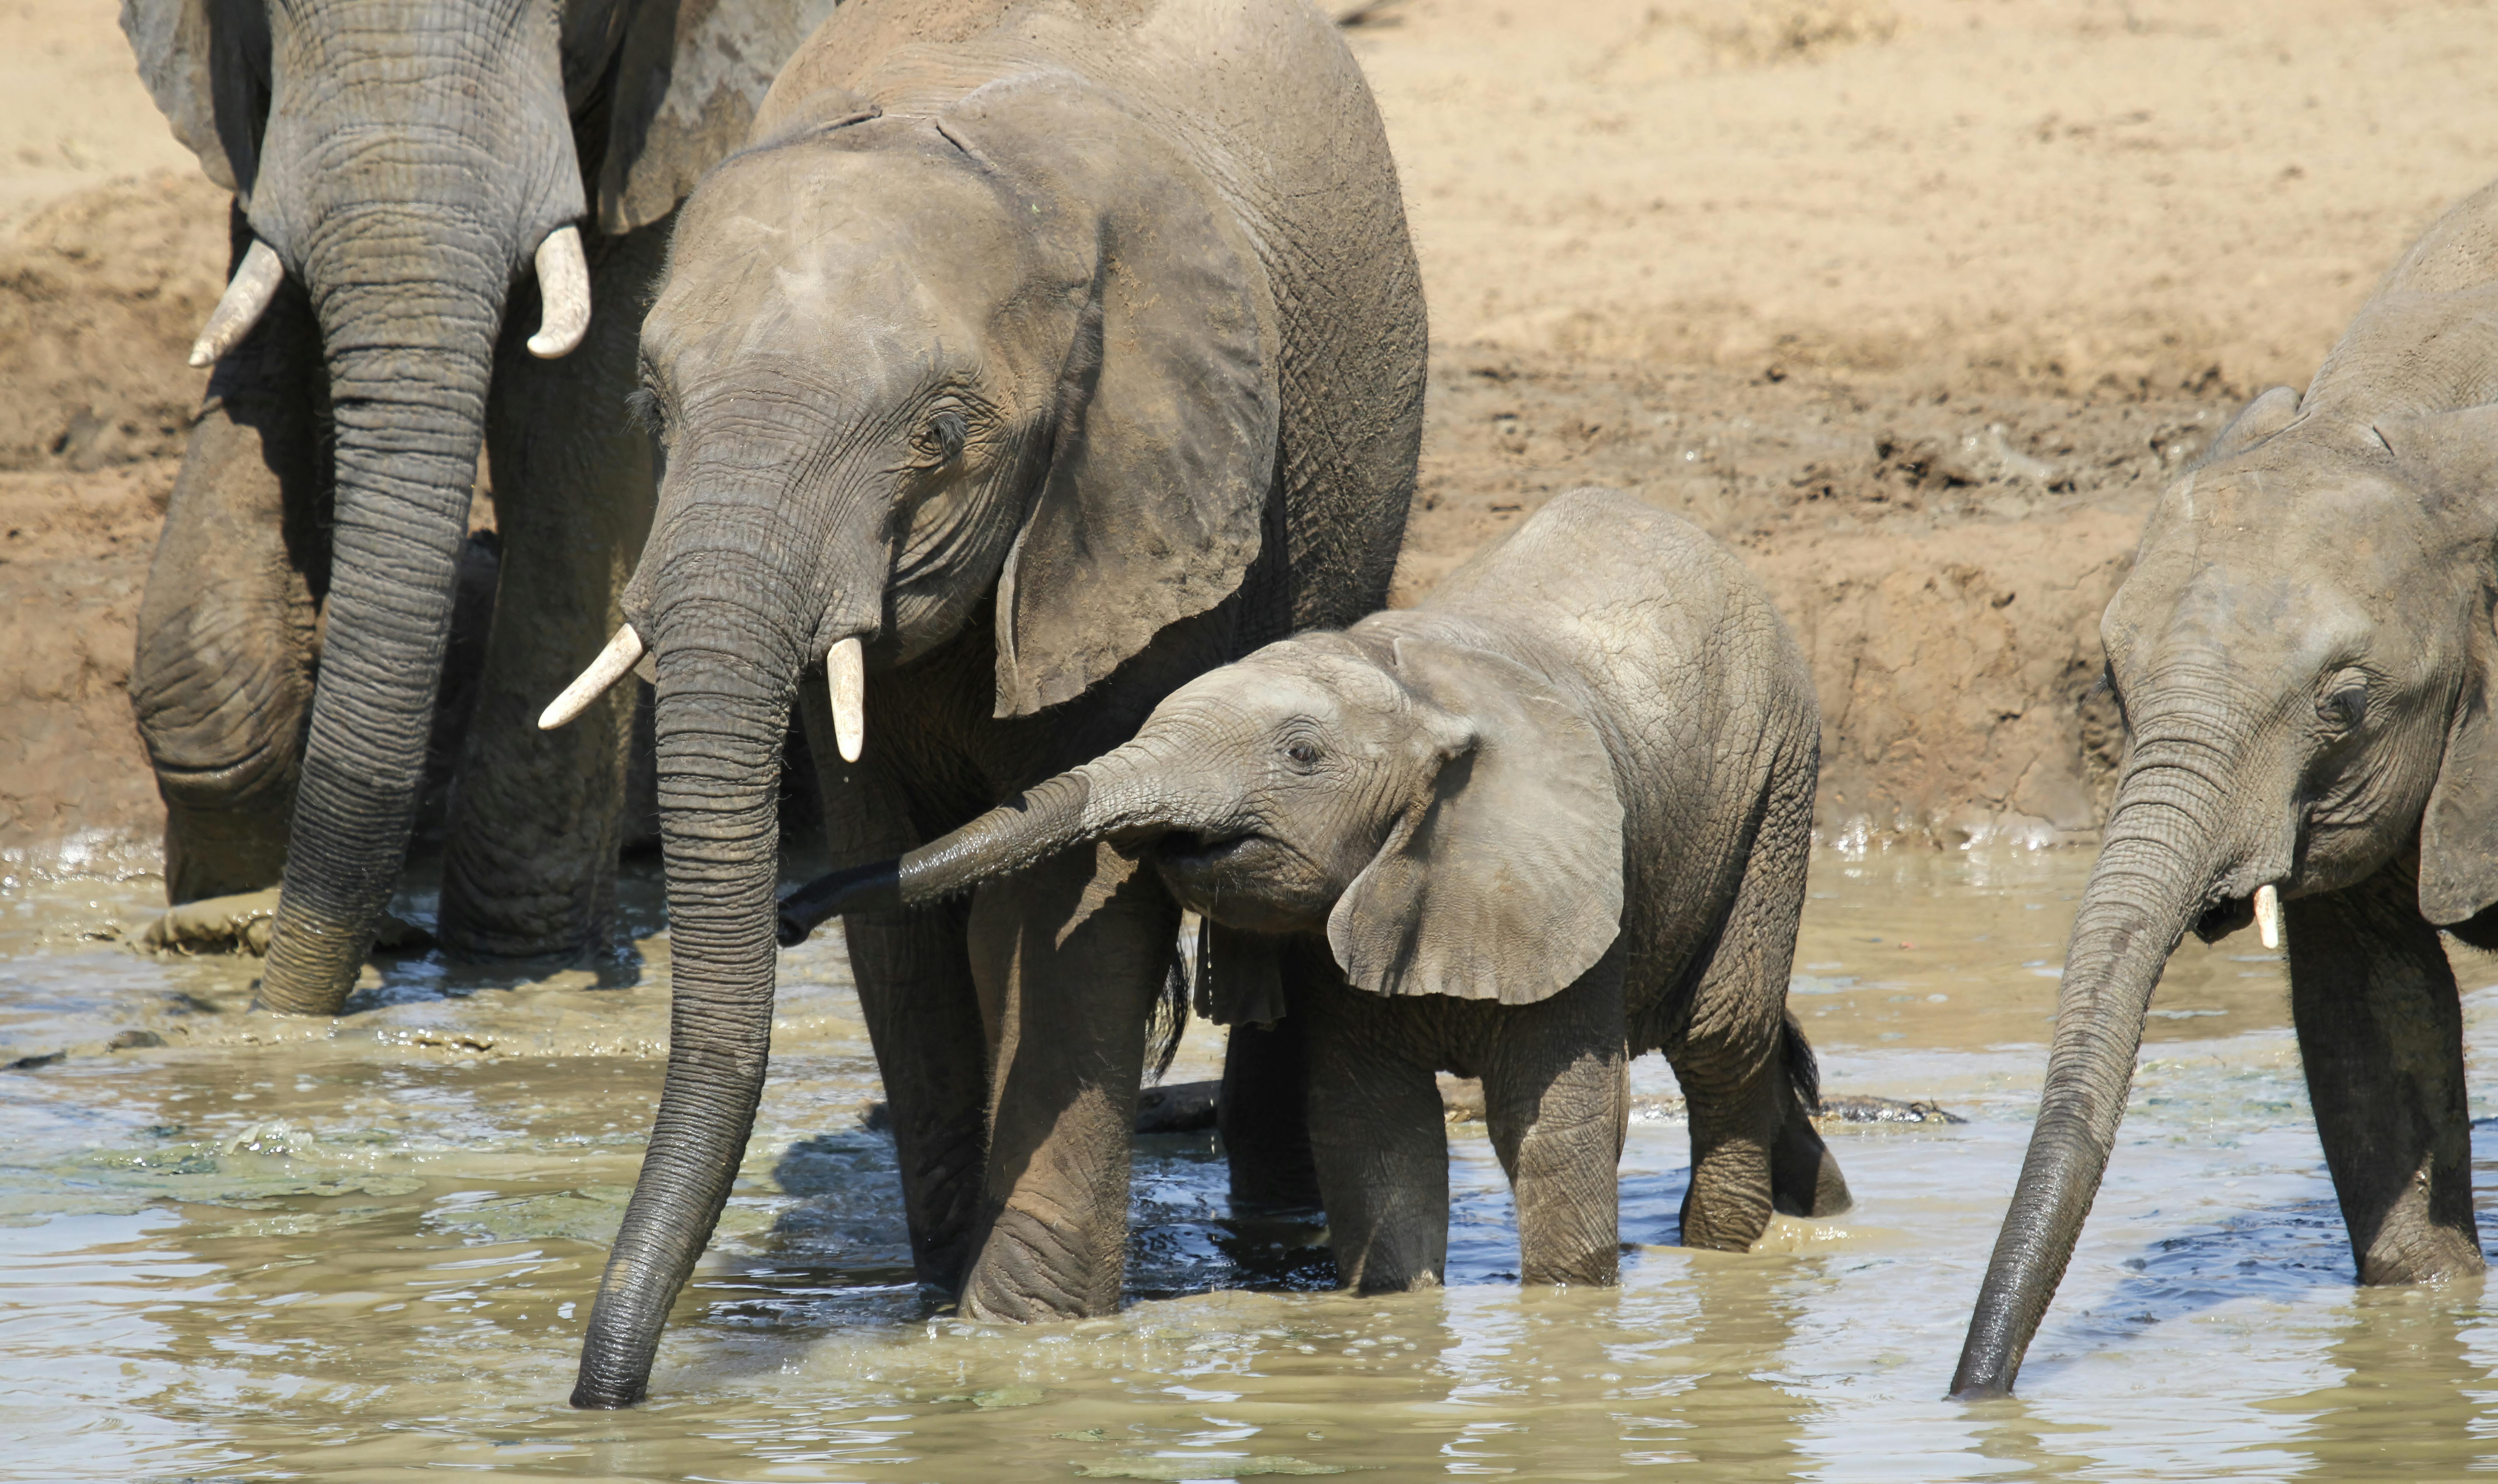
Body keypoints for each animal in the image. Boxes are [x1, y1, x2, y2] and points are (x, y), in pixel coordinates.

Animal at [119, 0, 833, 1012]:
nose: (279, 1003)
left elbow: (575, 417)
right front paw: (219, 920)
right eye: (264, 13)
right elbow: (263, 337)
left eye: (566, 14)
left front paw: (518, 961)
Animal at [556, 0, 1425, 1408]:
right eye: (650, 403)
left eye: (941, 435)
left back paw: (1278, 1235)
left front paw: (1016, 1337)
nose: (606, 1399)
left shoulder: (1139, 490)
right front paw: (942, 1299)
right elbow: (893, 899)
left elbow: (1069, 895)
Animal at [778, 488, 1852, 1294]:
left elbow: (1557, 1131)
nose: (790, 916)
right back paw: (1826, 1209)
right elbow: (1377, 1134)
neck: (1414, 693)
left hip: (1777, 781)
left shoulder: (1565, 888)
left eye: (1301, 756)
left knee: (1720, 1037)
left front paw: (1569, 1318)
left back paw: (1727, 1248)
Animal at [1951, 175, 2498, 1399]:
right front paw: (2426, 1315)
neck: (2428, 442)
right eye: (2111, 676)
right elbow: (2371, 1011)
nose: (1968, 1395)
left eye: (2344, 702)